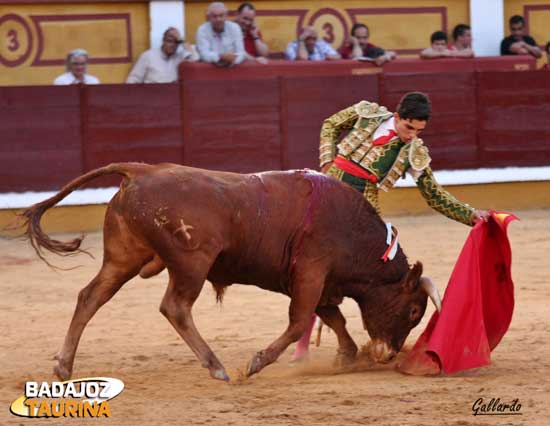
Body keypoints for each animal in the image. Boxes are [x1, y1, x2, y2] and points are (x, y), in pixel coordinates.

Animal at [22, 161, 444, 382]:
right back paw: (217, 367)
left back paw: (63, 365)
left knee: (91, 296)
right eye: (412, 311)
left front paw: (347, 355)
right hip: (191, 263)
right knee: (175, 307)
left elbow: (333, 317)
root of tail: (142, 170)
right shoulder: (310, 274)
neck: (355, 233)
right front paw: (257, 362)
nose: (387, 356)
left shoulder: (324, 283)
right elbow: (300, 321)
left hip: (123, 257)